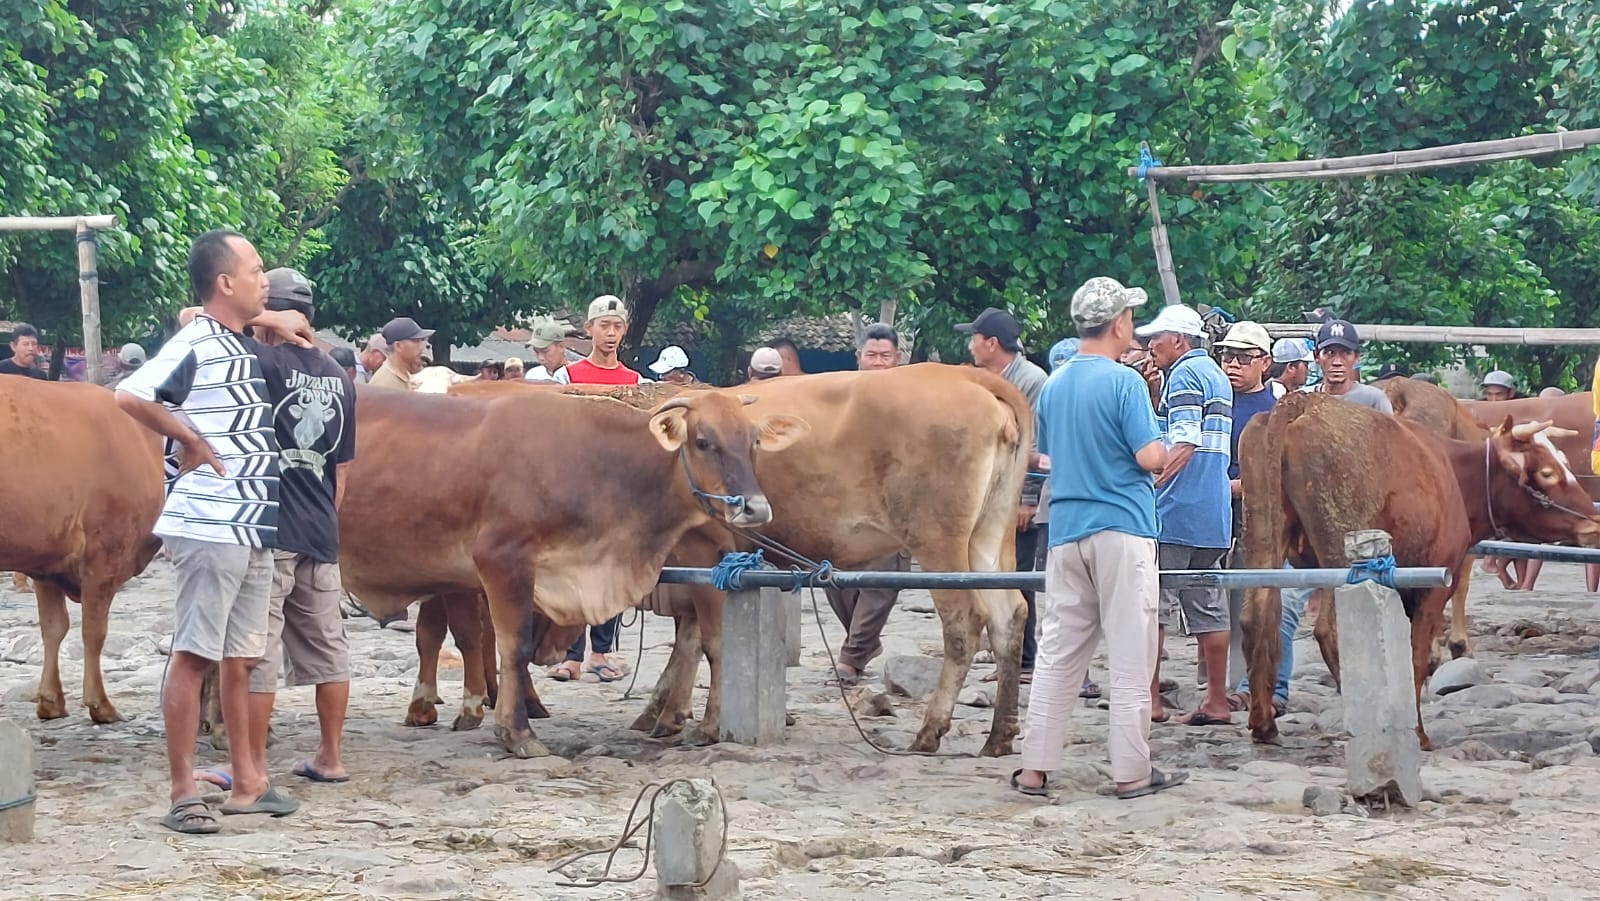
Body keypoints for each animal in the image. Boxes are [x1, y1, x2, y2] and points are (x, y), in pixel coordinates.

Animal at [0, 380, 162, 726]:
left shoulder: (46, 557)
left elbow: (53, 627)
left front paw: (50, 701)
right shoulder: (106, 552)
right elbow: (94, 631)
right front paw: (100, 704)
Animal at [334, 385, 800, 755]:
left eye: (753, 440)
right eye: (703, 441)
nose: (755, 508)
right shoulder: (500, 561)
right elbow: (512, 646)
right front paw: (516, 732)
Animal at [1235, 392, 1600, 752]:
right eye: (1548, 473)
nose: (1593, 523)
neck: (1455, 475)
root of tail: (1301, 402)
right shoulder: (1433, 587)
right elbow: (1417, 656)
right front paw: (1417, 732)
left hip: (1264, 536)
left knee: (1257, 613)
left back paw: (1264, 724)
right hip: (1341, 551)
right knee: (1331, 630)